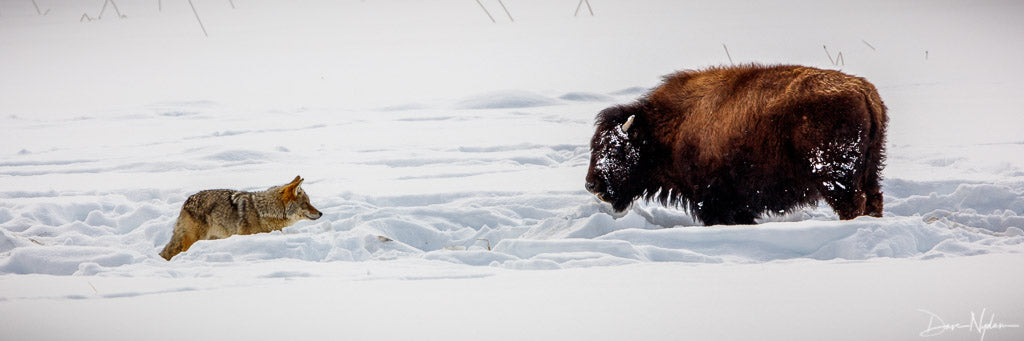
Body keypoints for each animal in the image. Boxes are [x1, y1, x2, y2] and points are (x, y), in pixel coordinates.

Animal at [585, 64, 888, 225]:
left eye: (615, 149)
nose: (591, 184)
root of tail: (863, 91)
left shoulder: (713, 199)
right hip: (870, 170)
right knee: (873, 199)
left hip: (835, 178)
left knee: (852, 204)